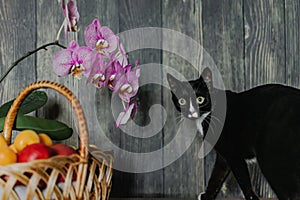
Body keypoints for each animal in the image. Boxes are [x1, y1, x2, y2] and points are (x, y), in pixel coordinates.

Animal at [168, 68, 300, 199]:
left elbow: (244, 181)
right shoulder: (223, 156)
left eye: (200, 99)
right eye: (182, 101)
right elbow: (216, 176)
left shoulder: (234, 155)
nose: (191, 112)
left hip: (270, 156)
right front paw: (207, 196)